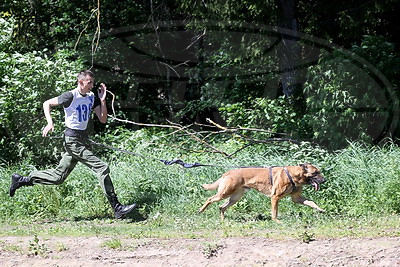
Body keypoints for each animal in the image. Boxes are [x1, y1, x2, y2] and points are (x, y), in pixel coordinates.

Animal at [198, 163, 326, 224]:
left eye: (319, 172)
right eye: (315, 173)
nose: (324, 180)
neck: (294, 175)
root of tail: (227, 172)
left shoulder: (297, 198)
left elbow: (311, 202)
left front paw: (320, 209)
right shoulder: (275, 197)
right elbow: (274, 212)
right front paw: (276, 221)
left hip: (235, 197)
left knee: (221, 207)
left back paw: (223, 220)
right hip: (225, 193)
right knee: (210, 199)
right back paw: (201, 210)